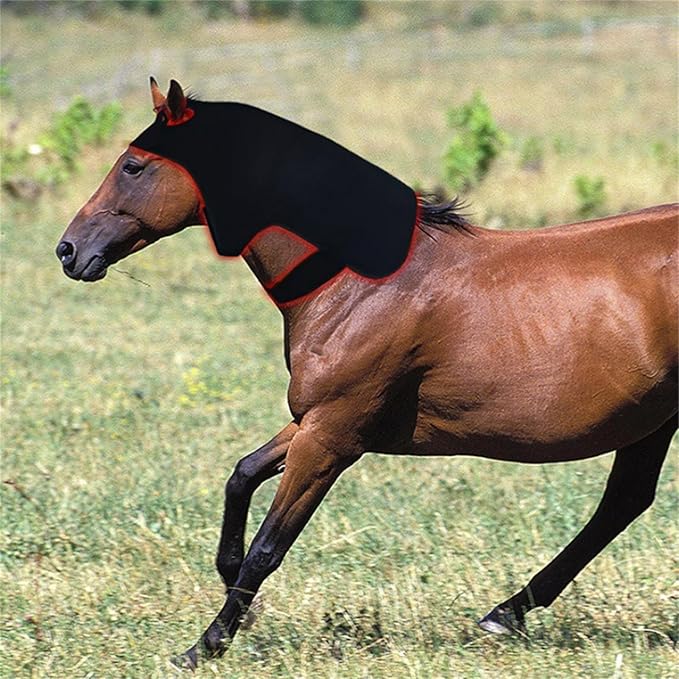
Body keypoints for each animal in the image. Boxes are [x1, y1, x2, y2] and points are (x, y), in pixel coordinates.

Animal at [56, 78, 678, 669]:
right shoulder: (316, 421)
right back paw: (505, 614)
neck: (360, 282)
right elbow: (241, 475)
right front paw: (232, 590)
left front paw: (205, 644)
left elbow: (269, 546)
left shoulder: (332, 437)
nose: (68, 250)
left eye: (133, 166)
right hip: (649, 421)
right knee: (623, 503)